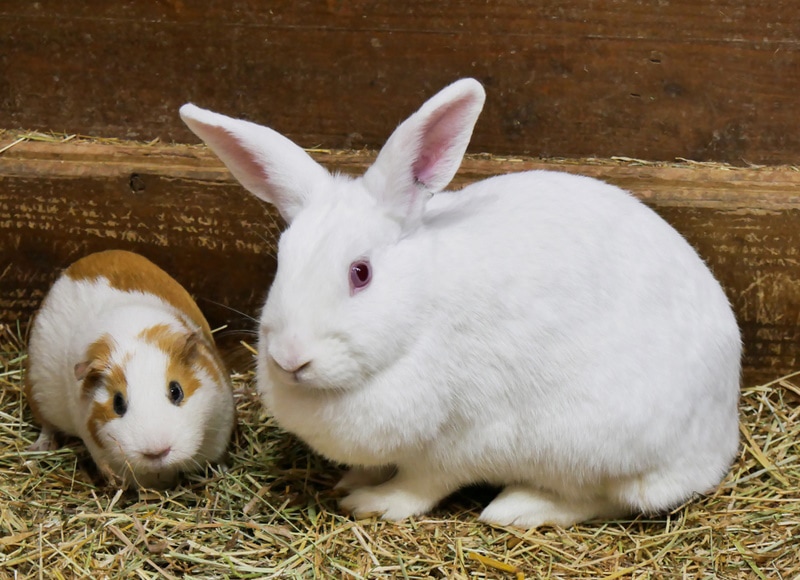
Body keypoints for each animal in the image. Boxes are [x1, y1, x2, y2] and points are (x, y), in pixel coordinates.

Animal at [181, 79, 744, 528]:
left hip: (591, 445)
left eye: (361, 273)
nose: (290, 359)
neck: (418, 318)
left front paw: (373, 502)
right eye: (282, 261)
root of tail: (720, 442)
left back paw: (517, 508)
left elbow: (422, 484)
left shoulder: (461, 442)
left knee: (607, 499)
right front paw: (352, 479)